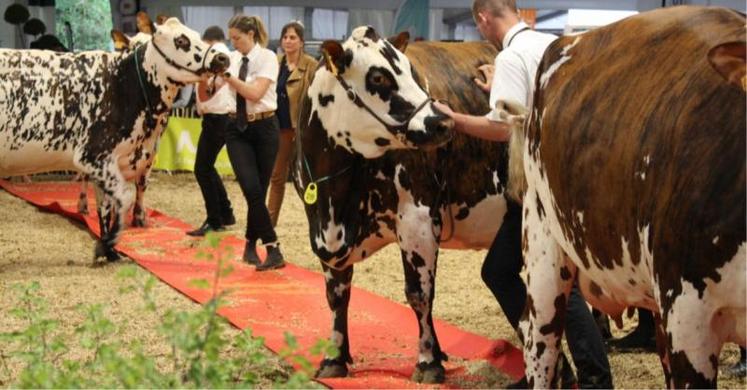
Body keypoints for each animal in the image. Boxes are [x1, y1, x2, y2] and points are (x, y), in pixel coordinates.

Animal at [0, 19, 229, 262]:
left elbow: (108, 205)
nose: (222, 58)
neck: (122, 83)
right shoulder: (94, 156)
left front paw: (111, 249)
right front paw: (107, 244)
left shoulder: (122, 160)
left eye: (197, 35)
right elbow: (123, 198)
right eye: (181, 40)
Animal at [294, 25, 502, 382]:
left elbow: (419, 293)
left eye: (410, 70)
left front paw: (428, 362)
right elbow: (336, 295)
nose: (443, 123)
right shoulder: (323, 231)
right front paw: (334, 358)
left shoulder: (418, 219)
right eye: (378, 77)